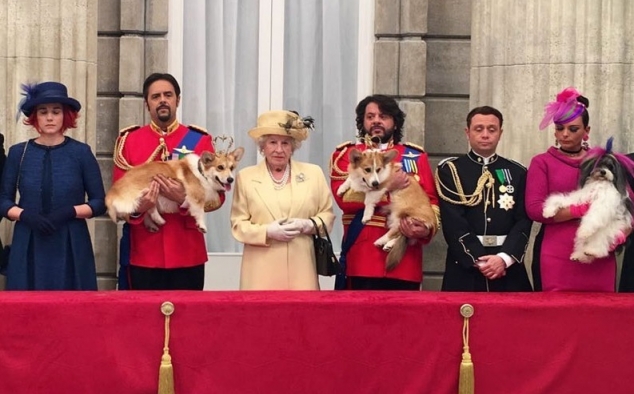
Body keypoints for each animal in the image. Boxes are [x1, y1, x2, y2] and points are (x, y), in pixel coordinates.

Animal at [105, 148, 243, 234]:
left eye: (232, 168)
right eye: (220, 167)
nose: (231, 179)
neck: (202, 173)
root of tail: (112, 192)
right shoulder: (196, 197)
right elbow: (200, 212)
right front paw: (202, 226)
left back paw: (154, 223)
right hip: (146, 191)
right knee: (148, 207)